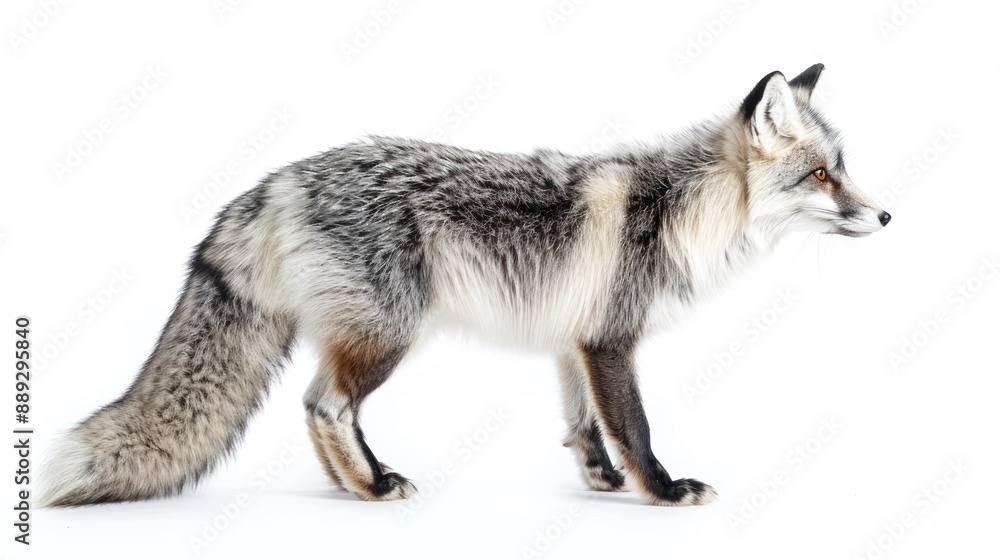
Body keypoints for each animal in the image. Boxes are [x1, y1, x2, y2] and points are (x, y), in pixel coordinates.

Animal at [41, 64, 890, 508]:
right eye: (822, 175)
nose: (886, 215)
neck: (685, 209)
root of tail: (277, 180)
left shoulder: (572, 340)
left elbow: (582, 425)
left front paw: (600, 481)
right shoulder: (612, 338)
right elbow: (636, 427)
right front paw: (661, 490)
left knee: (316, 408)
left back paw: (353, 487)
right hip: (389, 337)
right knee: (324, 406)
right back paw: (373, 484)